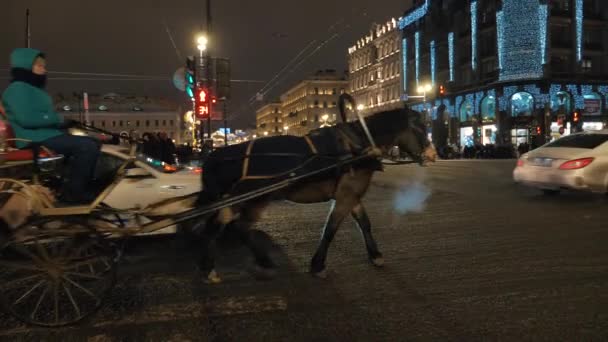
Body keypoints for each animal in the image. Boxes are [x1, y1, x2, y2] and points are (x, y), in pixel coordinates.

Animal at [195, 97, 436, 284]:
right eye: (418, 128)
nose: (433, 155)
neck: (358, 145)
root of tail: (218, 155)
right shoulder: (345, 196)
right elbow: (330, 229)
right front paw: (318, 266)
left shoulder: (350, 194)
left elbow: (364, 223)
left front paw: (375, 256)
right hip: (252, 199)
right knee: (236, 227)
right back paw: (254, 264)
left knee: (221, 227)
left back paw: (212, 268)